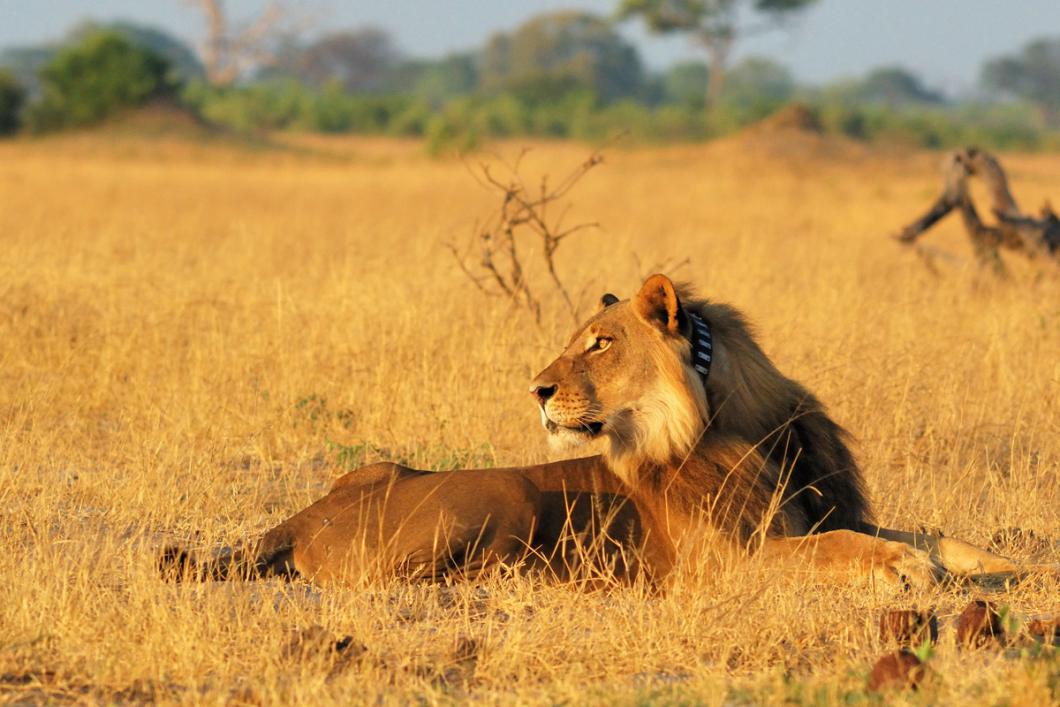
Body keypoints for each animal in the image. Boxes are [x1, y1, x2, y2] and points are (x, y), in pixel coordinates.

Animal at [161, 273, 1038, 589]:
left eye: (601, 341)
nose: (537, 389)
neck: (743, 424)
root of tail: (305, 511)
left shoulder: (811, 514)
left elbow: (932, 531)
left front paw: (1004, 563)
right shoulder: (726, 562)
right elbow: (847, 548)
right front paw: (908, 568)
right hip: (503, 501)